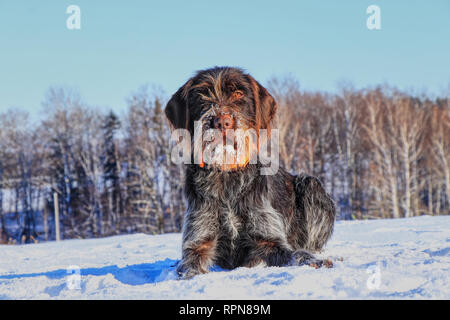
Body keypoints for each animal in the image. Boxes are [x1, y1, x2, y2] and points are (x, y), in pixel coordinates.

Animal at [164, 66, 334, 278]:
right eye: (202, 96)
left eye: (238, 93)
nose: (222, 122)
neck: (226, 174)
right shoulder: (198, 241)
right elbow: (189, 266)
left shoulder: (268, 239)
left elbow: (297, 254)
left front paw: (316, 262)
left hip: (311, 184)